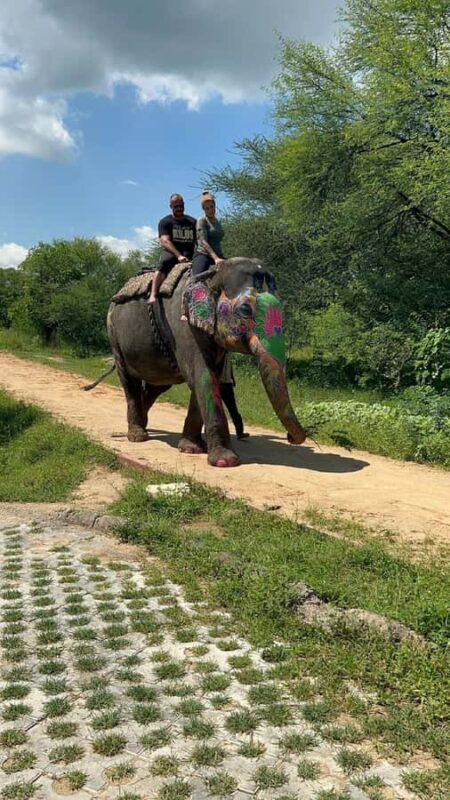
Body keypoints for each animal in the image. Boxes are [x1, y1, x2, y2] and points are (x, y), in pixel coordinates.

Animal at [106, 257, 306, 467]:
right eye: (245, 310)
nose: (290, 438)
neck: (211, 275)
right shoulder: (183, 326)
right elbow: (203, 377)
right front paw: (225, 461)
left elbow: (208, 379)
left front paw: (192, 449)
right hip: (114, 335)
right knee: (129, 382)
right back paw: (137, 435)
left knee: (157, 386)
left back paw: (144, 424)